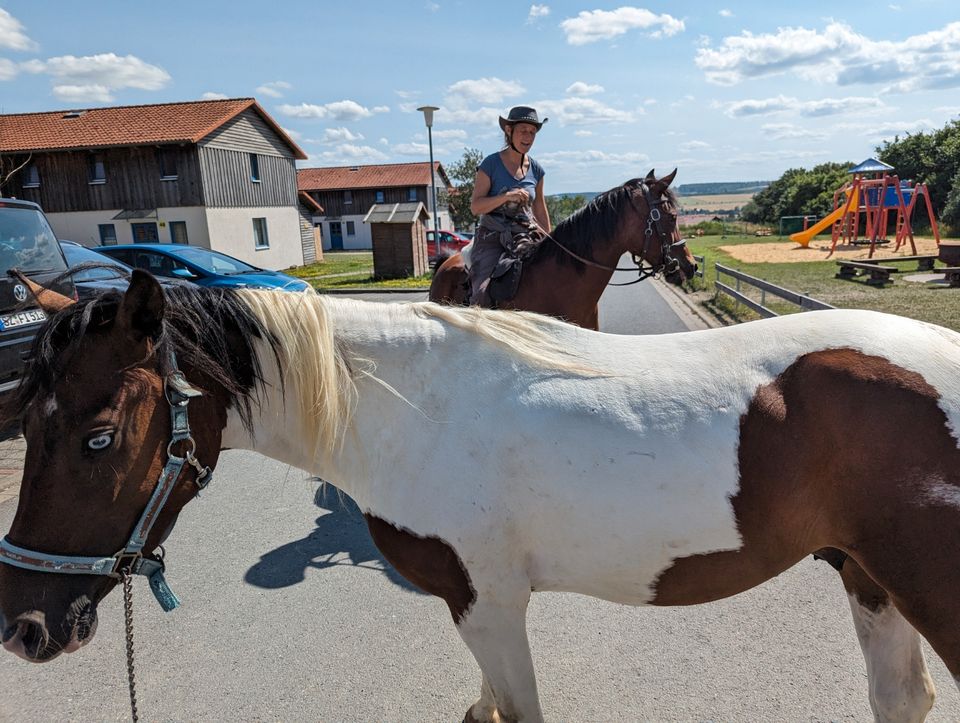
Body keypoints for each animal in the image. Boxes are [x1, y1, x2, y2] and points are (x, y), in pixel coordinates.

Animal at [1, 274, 960, 720]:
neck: (413, 407)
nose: (27, 629)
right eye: (26, 424)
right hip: (868, 577)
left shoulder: (487, 603)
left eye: (96, 437)